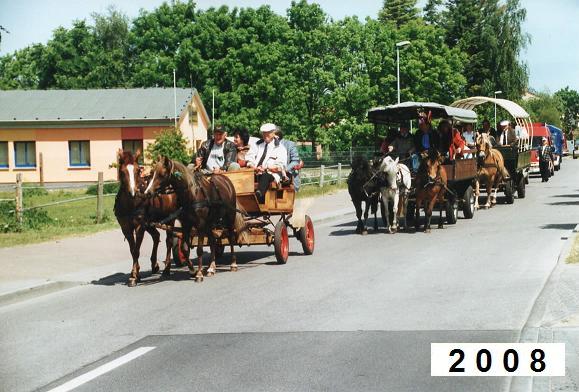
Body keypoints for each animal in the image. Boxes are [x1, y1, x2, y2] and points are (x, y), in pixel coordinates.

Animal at [112, 150, 178, 288]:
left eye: (138, 170)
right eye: (122, 172)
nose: (133, 192)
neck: (131, 204)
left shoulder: (139, 226)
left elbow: (136, 250)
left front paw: (133, 276)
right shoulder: (126, 228)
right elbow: (132, 250)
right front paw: (136, 273)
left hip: (170, 219)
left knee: (169, 241)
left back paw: (167, 268)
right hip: (149, 223)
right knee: (156, 236)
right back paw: (154, 265)